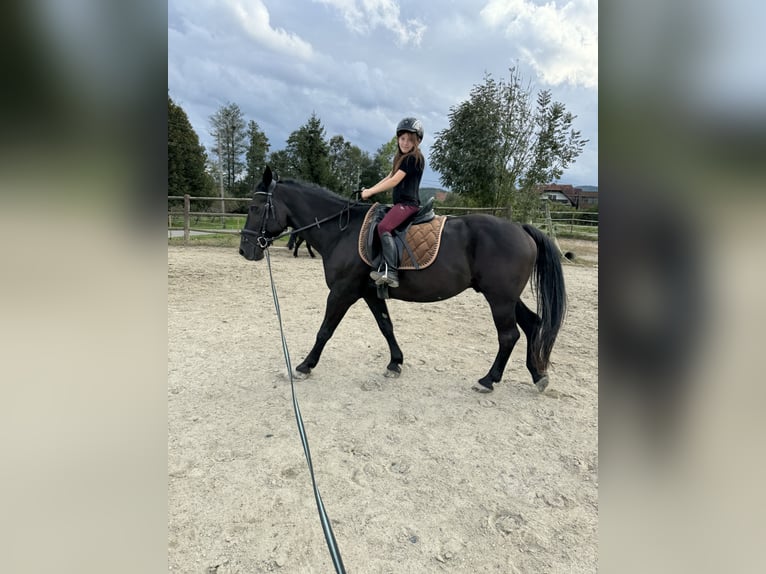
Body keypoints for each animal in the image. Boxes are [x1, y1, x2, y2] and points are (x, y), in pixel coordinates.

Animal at [239, 167, 566, 392]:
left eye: (255, 208)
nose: (245, 249)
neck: (342, 230)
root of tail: (521, 229)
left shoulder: (342, 292)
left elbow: (325, 330)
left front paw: (304, 366)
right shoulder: (370, 292)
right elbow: (386, 327)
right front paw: (395, 363)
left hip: (499, 299)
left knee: (509, 335)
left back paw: (488, 380)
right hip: (507, 297)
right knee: (533, 323)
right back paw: (538, 376)